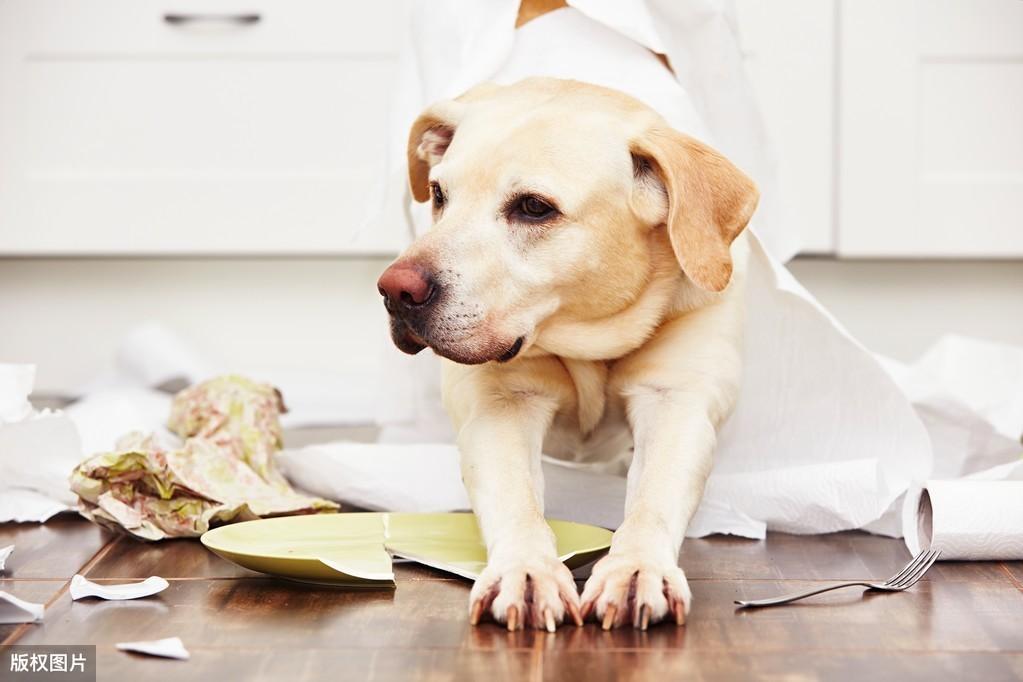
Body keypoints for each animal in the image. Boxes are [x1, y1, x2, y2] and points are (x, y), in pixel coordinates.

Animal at [378, 77, 761, 633]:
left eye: (534, 207)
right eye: (438, 195)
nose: (395, 290)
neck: (589, 339)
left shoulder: (675, 401)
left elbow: (653, 497)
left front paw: (637, 568)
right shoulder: (503, 405)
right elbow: (516, 498)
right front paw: (525, 569)